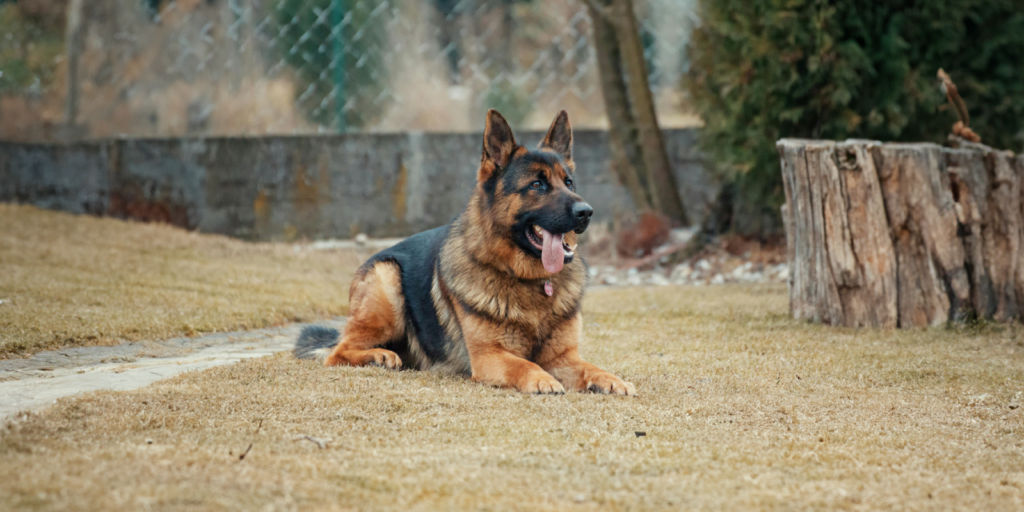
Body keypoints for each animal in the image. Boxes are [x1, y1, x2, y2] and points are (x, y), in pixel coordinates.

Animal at [292, 110, 634, 393]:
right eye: (537, 184)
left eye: (569, 182)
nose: (586, 212)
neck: (530, 281)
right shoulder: (489, 356)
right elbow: (524, 364)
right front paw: (541, 379)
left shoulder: (565, 357)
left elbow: (591, 367)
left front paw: (611, 379)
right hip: (386, 280)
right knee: (337, 352)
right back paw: (379, 355)